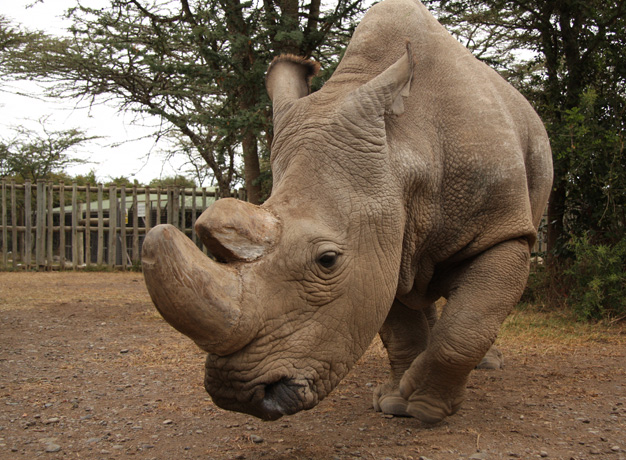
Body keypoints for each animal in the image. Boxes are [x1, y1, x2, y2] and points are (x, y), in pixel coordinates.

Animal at [141, 0, 552, 424]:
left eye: (327, 260)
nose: (237, 395)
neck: (406, 153)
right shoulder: (383, 239)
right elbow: (399, 328)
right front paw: (394, 403)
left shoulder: (502, 229)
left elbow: (466, 328)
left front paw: (425, 410)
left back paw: (487, 365)